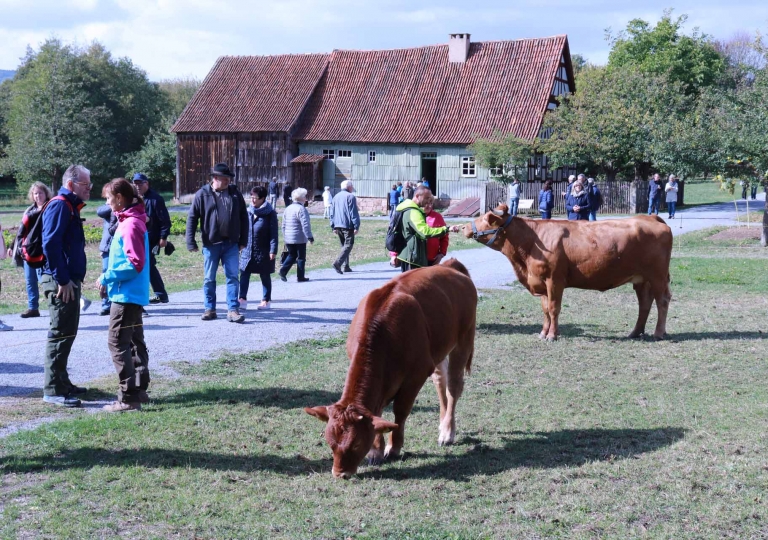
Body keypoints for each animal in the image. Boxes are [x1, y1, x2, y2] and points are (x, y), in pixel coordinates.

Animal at [304, 260, 474, 478]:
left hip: (464, 340)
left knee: (453, 386)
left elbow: (400, 411)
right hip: (439, 350)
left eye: (357, 443)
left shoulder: (416, 375)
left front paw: (393, 448)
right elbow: (377, 413)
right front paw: (376, 451)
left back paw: (447, 432)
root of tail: (449, 265)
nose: (340, 473)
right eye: (330, 442)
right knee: (440, 380)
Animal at [462, 205, 672, 340]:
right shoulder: (541, 281)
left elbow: (554, 308)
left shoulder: (554, 280)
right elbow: (545, 309)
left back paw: (658, 333)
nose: (463, 227)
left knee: (662, 300)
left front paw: (552, 335)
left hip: (658, 276)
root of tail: (650, 217)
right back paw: (636, 332)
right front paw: (543, 333)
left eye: (486, 219)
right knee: (645, 303)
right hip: (641, 279)